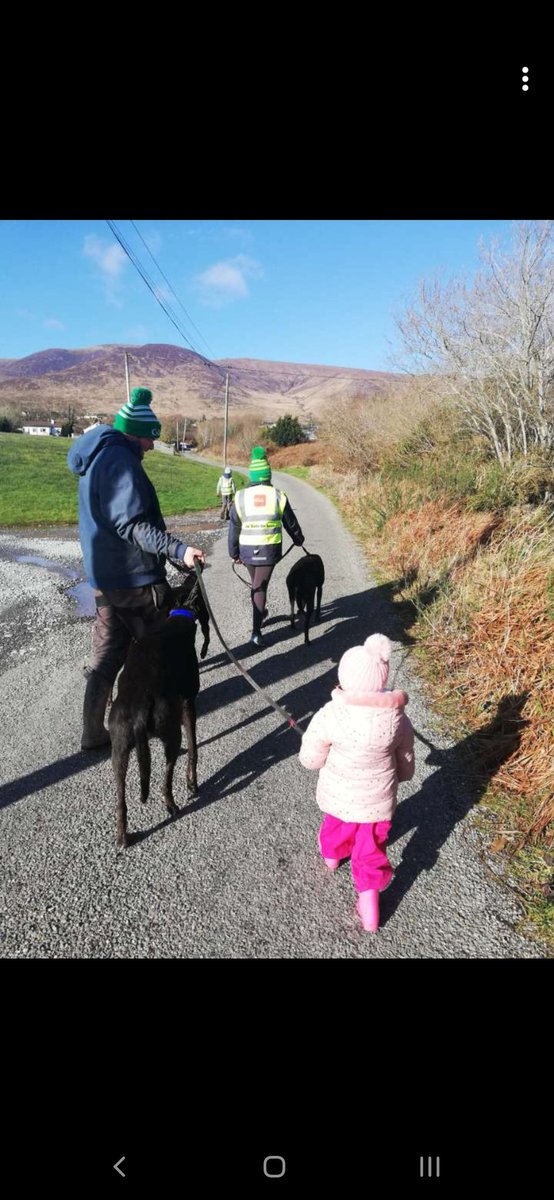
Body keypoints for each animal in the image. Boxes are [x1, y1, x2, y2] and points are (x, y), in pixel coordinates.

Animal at [107, 566, 209, 849]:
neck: (179, 615)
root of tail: (139, 712)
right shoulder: (188, 703)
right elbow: (194, 748)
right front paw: (192, 783)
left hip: (119, 751)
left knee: (120, 800)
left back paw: (123, 837)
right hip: (171, 733)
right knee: (166, 777)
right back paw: (171, 804)